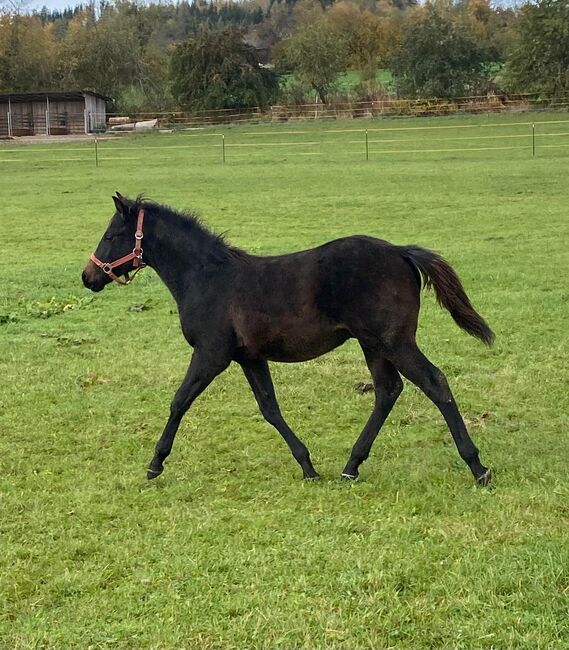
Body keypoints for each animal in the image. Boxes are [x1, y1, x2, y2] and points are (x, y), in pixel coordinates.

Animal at [82, 195, 494, 484]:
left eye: (111, 235)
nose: (88, 276)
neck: (208, 277)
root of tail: (401, 252)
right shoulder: (249, 357)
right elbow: (270, 408)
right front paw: (307, 466)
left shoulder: (211, 354)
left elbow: (179, 401)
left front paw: (155, 463)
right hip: (373, 344)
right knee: (387, 390)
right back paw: (351, 466)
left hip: (394, 341)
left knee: (434, 382)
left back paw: (478, 467)